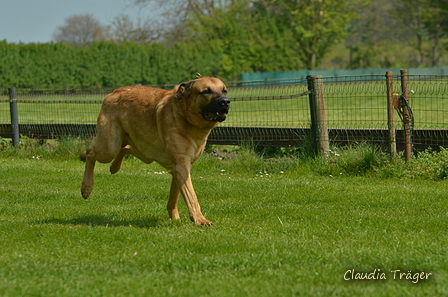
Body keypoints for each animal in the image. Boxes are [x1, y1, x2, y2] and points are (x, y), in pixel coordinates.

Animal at [79, 75, 231, 224]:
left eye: (224, 90)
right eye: (206, 91)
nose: (226, 102)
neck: (185, 117)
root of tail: (114, 92)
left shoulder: (180, 168)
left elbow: (174, 197)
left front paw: (174, 217)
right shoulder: (181, 166)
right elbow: (191, 197)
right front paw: (200, 220)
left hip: (142, 151)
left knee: (125, 148)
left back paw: (114, 167)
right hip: (110, 147)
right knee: (90, 153)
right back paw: (86, 187)